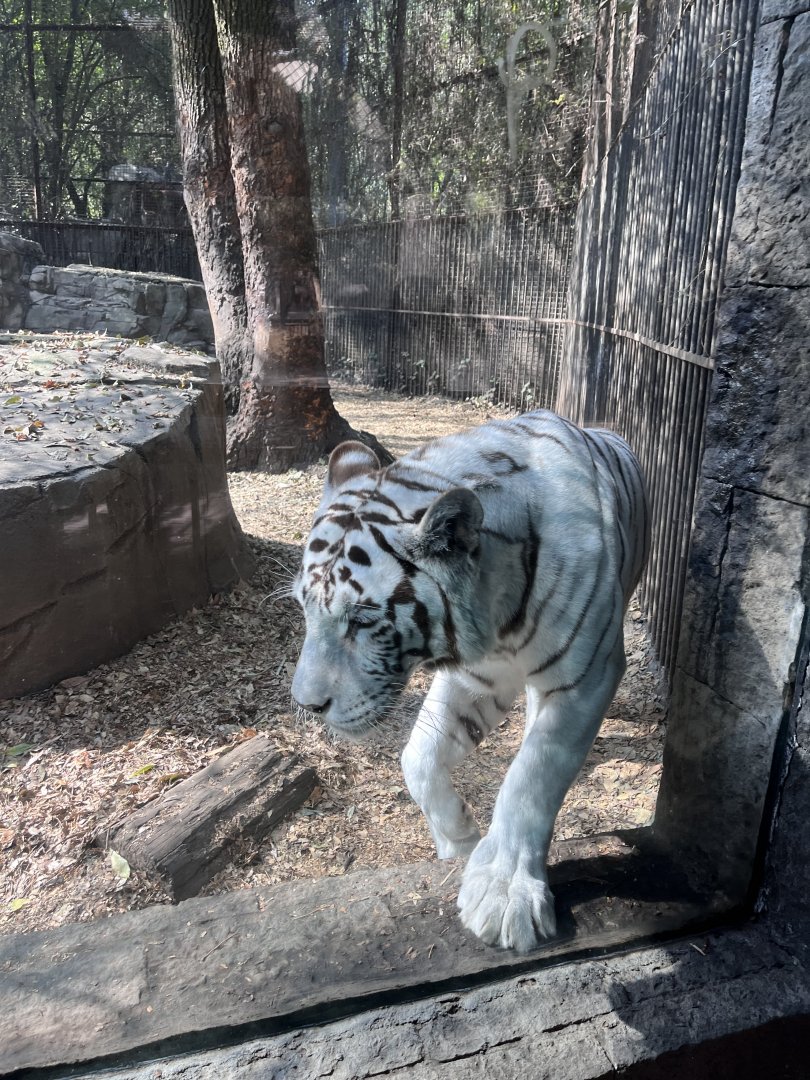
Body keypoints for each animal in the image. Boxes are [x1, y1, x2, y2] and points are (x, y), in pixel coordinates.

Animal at [291, 409, 650, 952]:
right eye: (303, 607)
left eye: (362, 619)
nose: (307, 705)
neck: (498, 611)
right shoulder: (478, 678)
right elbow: (417, 757)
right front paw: (458, 839)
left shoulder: (585, 677)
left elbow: (533, 778)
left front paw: (505, 893)